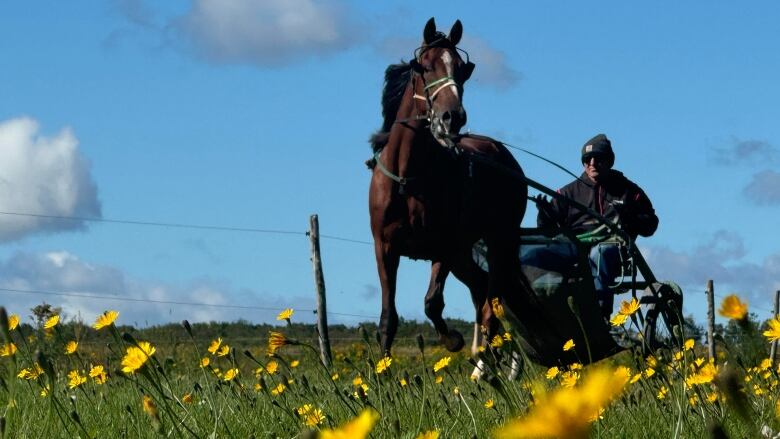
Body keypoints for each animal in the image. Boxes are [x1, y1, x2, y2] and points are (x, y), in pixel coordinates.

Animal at [366, 16, 556, 358]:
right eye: (425, 66)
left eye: (461, 68)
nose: (452, 117)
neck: (408, 179)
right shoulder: (385, 246)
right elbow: (388, 319)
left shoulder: (444, 245)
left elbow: (432, 303)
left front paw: (452, 338)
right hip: (464, 255)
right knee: (481, 290)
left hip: (498, 241)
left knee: (492, 306)